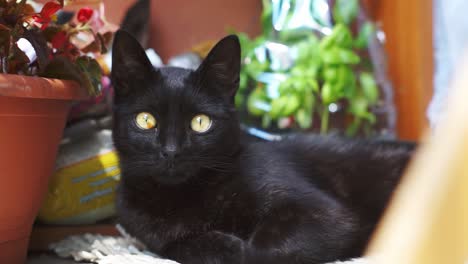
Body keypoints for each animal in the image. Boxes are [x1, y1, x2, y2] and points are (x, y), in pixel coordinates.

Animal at [112, 29, 414, 262]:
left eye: (200, 122)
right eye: (146, 120)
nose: (171, 151)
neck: (185, 196)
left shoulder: (325, 214)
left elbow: (263, 249)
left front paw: (241, 250)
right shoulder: (150, 233)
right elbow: (179, 245)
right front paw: (222, 247)